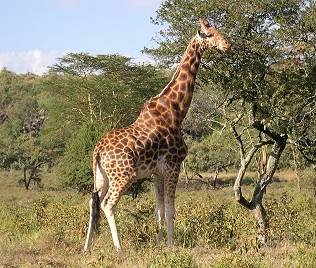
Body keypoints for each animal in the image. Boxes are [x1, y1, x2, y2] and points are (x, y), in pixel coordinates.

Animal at [84, 18, 230, 251]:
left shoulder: (157, 172)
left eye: (217, 30)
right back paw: (119, 248)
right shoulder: (173, 165)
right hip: (123, 176)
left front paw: (159, 242)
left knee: (93, 201)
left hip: (101, 177)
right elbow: (170, 210)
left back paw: (86, 247)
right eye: (208, 34)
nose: (227, 44)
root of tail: (98, 150)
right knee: (108, 204)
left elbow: (159, 210)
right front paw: (171, 245)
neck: (176, 110)